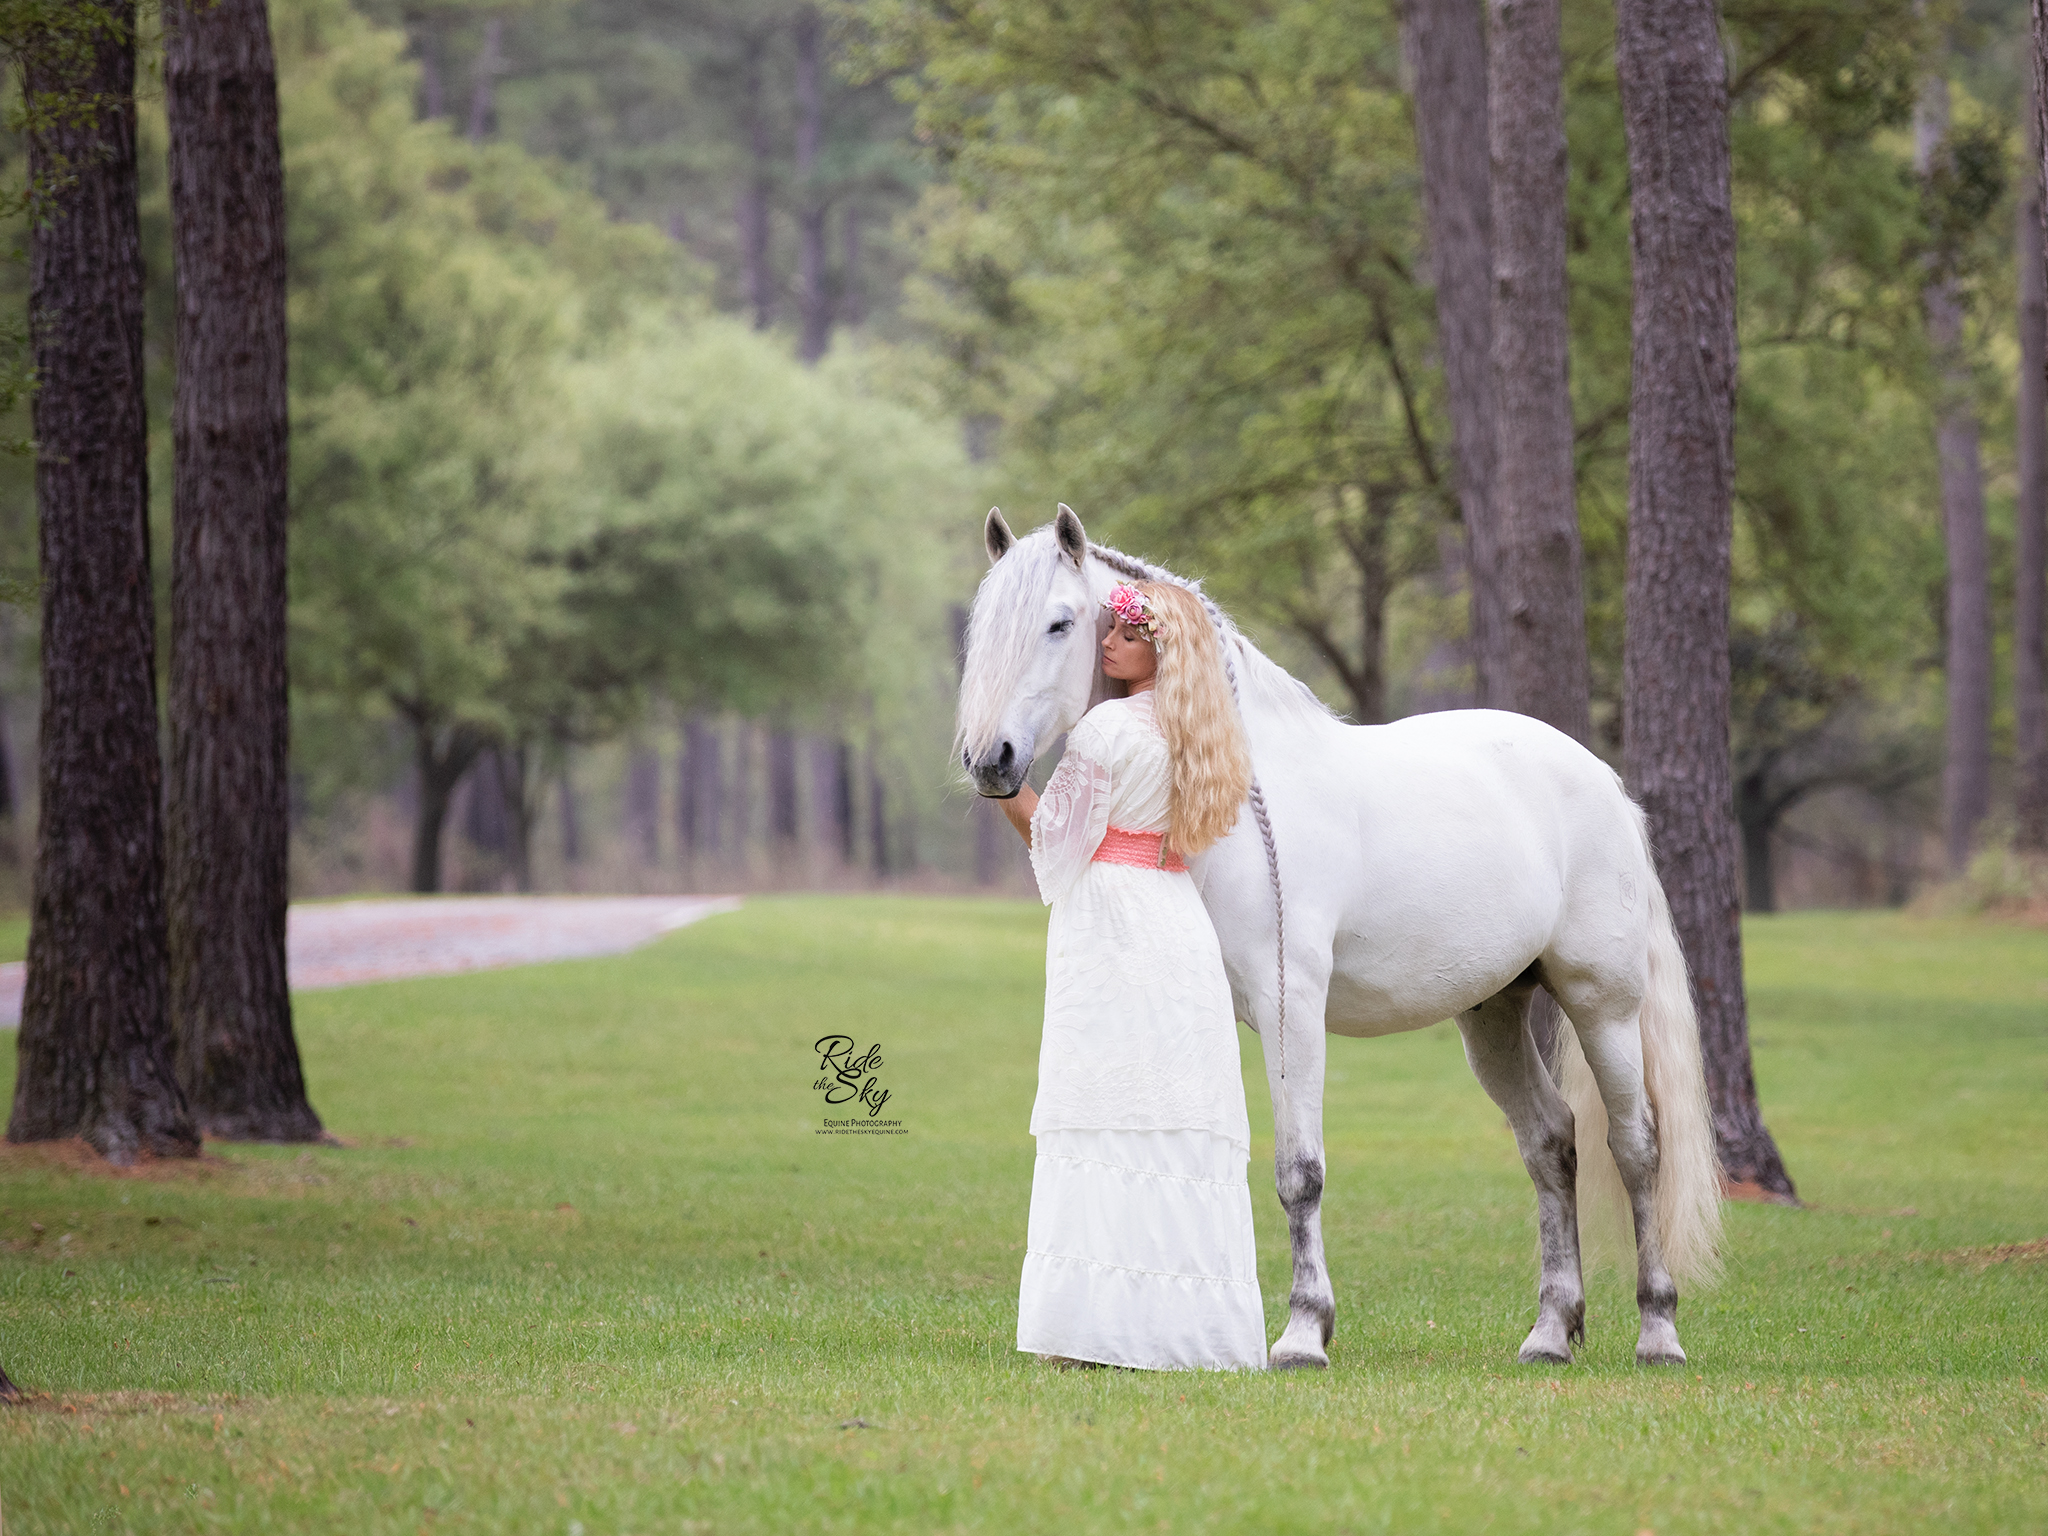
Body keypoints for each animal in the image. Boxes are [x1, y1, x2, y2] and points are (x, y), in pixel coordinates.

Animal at [954, 512, 1712, 1376]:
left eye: (1060, 623)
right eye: (982, 629)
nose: (989, 761)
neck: (1239, 796)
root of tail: (1605, 784)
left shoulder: (1293, 1013)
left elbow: (1300, 1174)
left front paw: (1302, 1333)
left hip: (1602, 1007)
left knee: (1637, 1147)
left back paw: (1659, 1331)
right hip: (1493, 1016)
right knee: (1551, 1143)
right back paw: (1551, 1331)